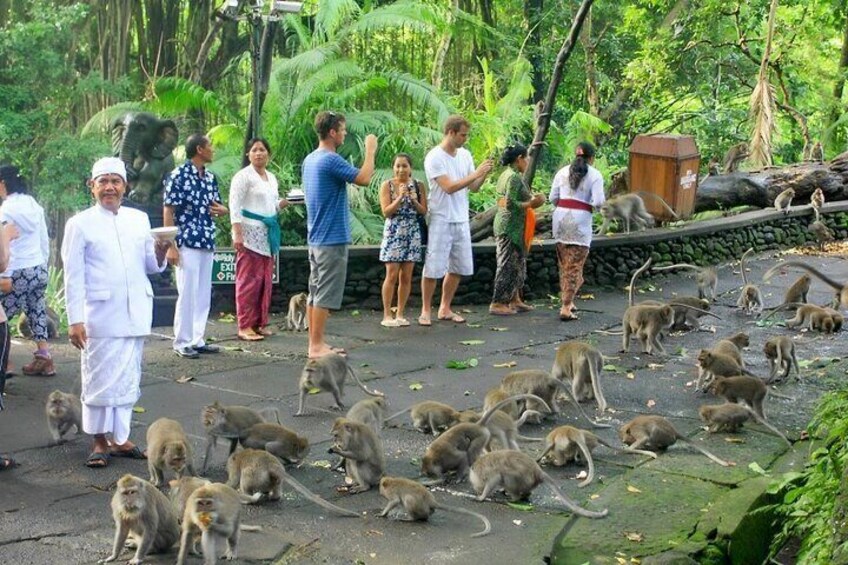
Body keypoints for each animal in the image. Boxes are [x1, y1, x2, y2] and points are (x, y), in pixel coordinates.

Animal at [468, 450, 608, 516]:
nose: (476, 489)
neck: (479, 466)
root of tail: (538, 472)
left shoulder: (489, 473)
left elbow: (495, 479)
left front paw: (482, 496)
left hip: (519, 478)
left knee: (507, 476)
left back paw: (514, 498)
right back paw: (524, 495)